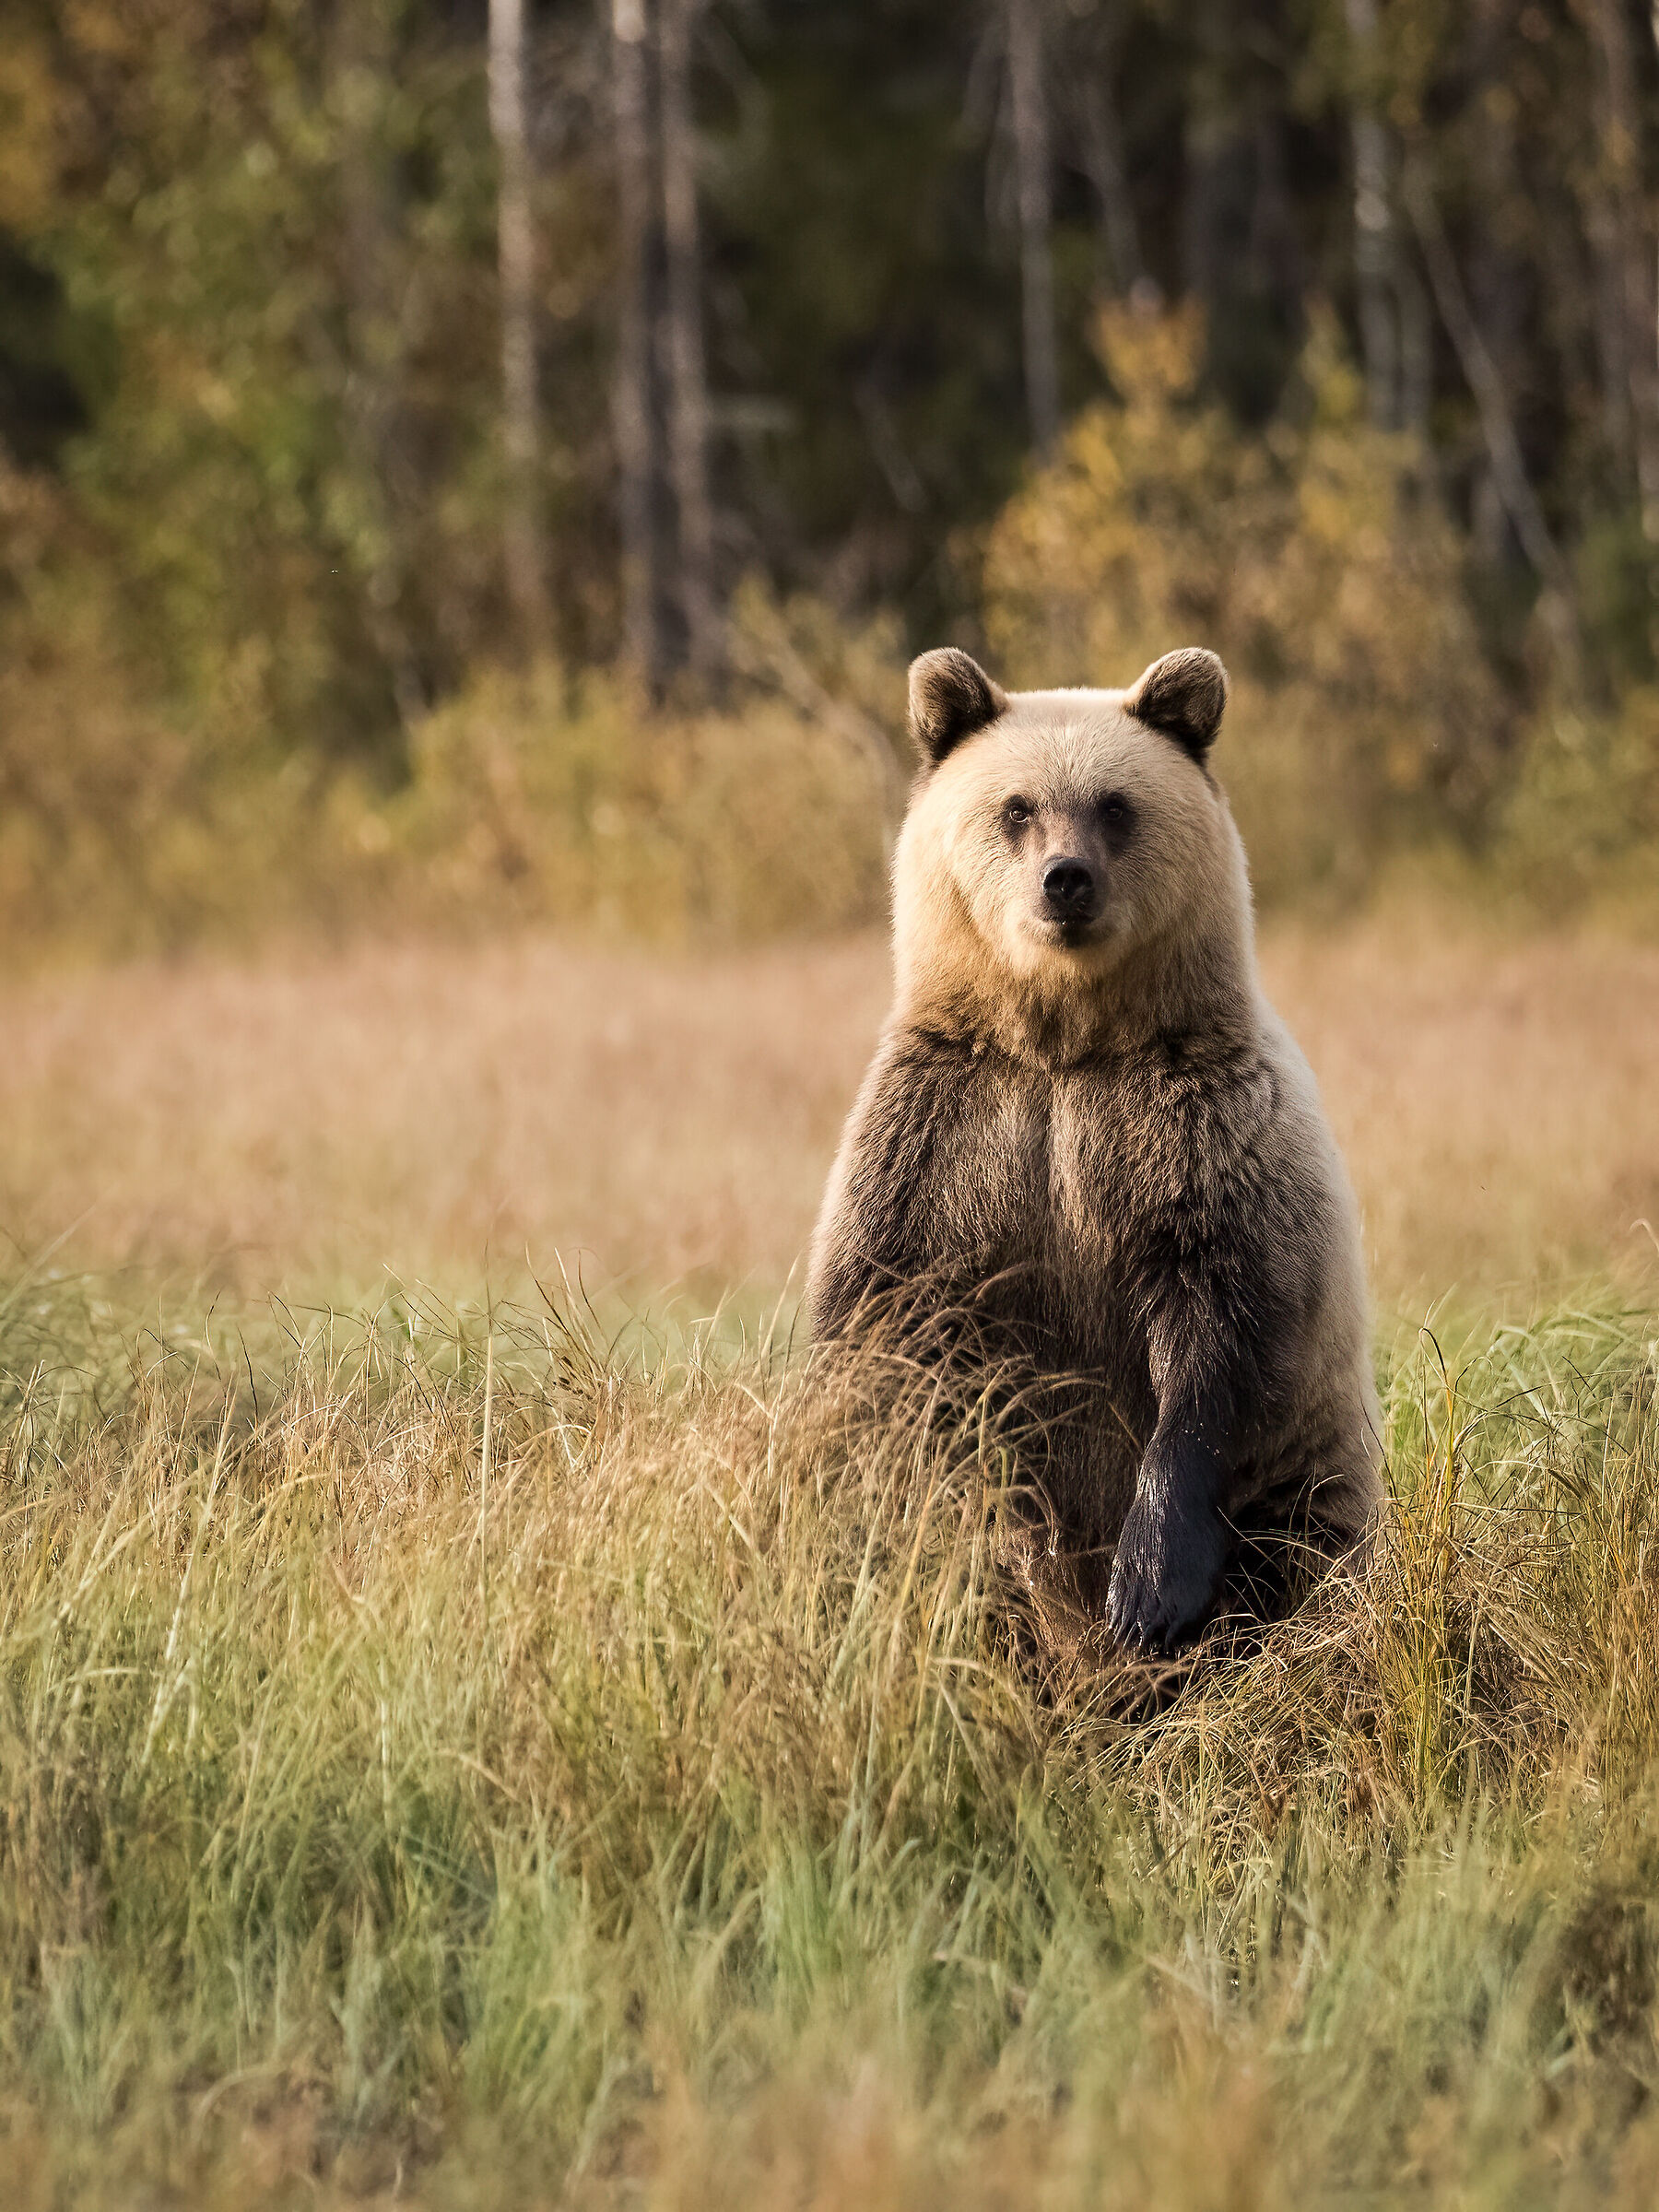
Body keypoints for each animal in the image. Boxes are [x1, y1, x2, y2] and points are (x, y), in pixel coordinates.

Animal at [808, 644, 1383, 1654]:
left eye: (1116, 804)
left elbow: (1227, 1339)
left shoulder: (1195, 1131)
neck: (1065, 1044)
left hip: (1310, 1487)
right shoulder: (948, 1131)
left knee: (1299, 1564)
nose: (1065, 880)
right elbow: (883, 1317)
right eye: (1017, 808)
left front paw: (1147, 1587)